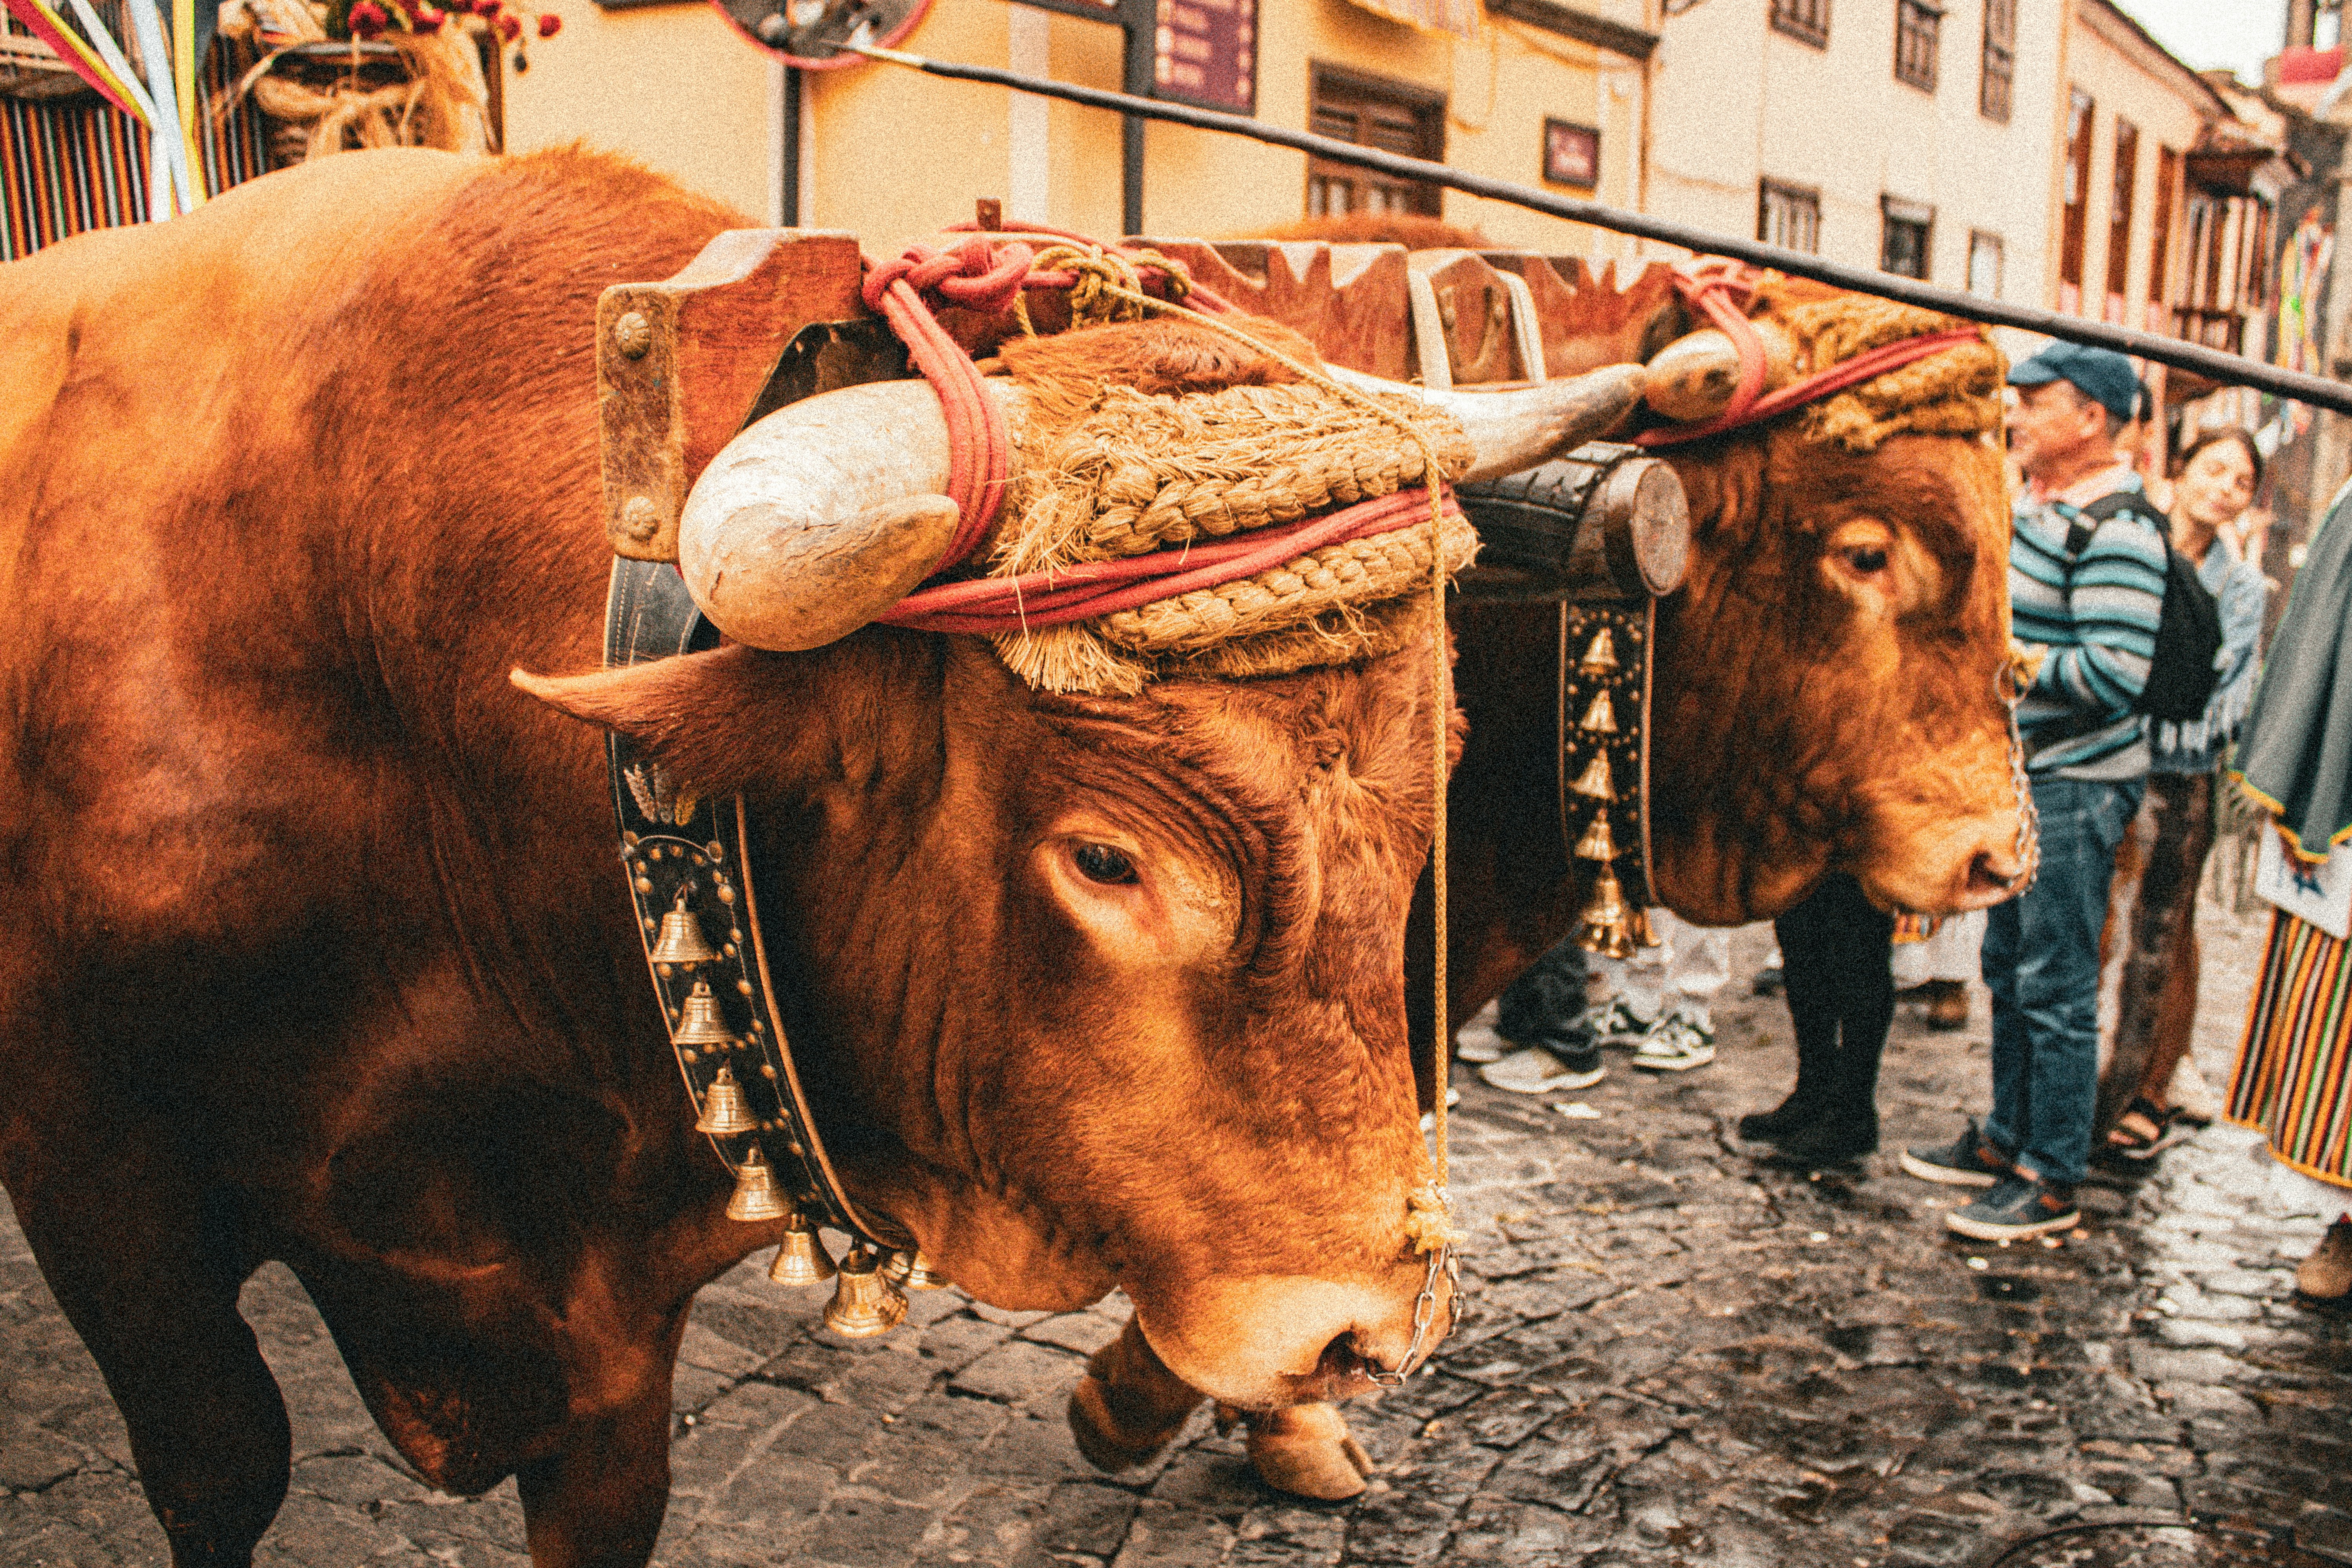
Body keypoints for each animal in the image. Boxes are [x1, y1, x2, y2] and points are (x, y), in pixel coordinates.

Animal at [0, 148, 1659, 1566]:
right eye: (1107, 859)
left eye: (1438, 763)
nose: (1364, 1334)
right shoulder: (106, 1198)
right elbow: (222, 1467)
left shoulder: (612, 1338)